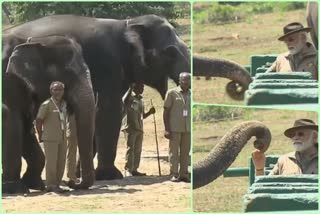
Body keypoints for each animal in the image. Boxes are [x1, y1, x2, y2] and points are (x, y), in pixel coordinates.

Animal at [2, 35, 95, 192]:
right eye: (69, 75)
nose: (71, 182)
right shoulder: (10, 90)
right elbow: (12, 128)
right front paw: (15, 188)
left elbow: (25, 133)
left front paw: (34, 184)